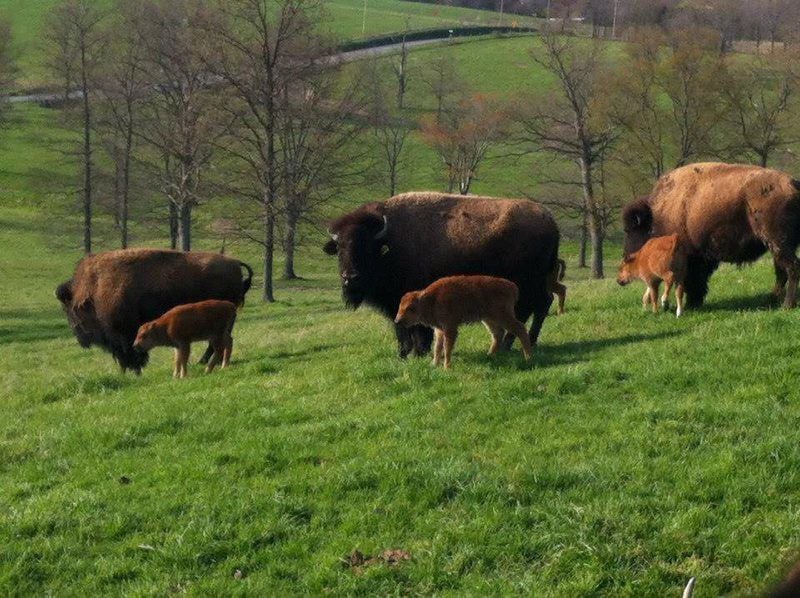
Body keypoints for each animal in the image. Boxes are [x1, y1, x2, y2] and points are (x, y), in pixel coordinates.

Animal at [55, 247, 253, 370]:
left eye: (68, 310)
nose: (80, 337)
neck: (94, 288)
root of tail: (234, 263)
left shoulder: (123, 334)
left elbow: (129, 350)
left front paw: (134, 366)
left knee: (217, 342)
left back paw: (203, 361)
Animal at [322, 195, 560, 358]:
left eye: (366, 248)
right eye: (340, 248)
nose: (350, 277)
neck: (389, 244)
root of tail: (549, 220)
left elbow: (415, 328)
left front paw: (417, 352)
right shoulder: (396, 304)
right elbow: (401, 327)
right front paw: (405, 354)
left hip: (527, 283)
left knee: (534, 307)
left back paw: (517, 343)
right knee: (540, 304)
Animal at [394, 276, 532, 370]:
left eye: (410, 308)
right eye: (400, 306)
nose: (397, 320)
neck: (432, 300)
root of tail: (512, 286)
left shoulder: (450, 328)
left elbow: (447, 347)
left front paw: (446, 367)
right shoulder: (439, 330)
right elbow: (437, 347)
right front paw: (434, 364)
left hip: (502, 316)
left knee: (520, 328)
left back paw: (528, 357)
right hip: (489, 319)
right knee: (498, 333)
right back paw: (489, 355)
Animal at [624, 163, 800, 310]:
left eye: (632, 229)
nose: (626, 256)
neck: (657, 215)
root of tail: (793, 185)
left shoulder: (691, 259)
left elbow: (692, 281)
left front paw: (691, 304)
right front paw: (694, 302)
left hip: (778, 242)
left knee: (791, 267)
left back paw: (787, 304)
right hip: (777, 246)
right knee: (781, 271)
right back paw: (772, 300)